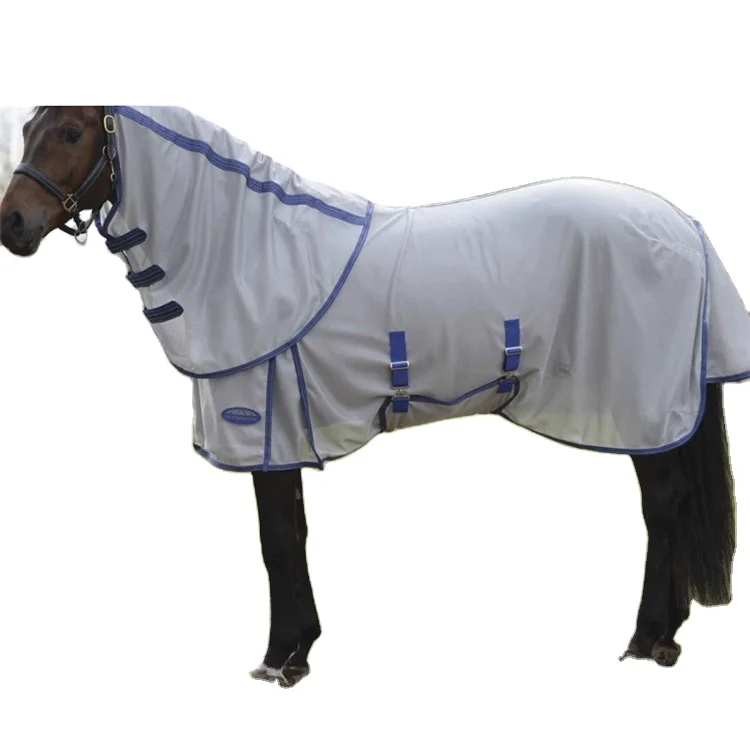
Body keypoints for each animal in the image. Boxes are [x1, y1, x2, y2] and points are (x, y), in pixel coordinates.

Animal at [0, 106, 745, 687]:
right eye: (28, 126)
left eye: (70, 130)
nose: (13, 224)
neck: (251, 252)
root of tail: (685, 226)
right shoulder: (285, 434)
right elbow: (293, 534)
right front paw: (299, 646)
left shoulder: (264, 428)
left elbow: (277, 540)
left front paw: (281, 658)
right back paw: (667, 635)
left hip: (642, 408)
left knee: (664, 509)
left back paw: (649, 639)